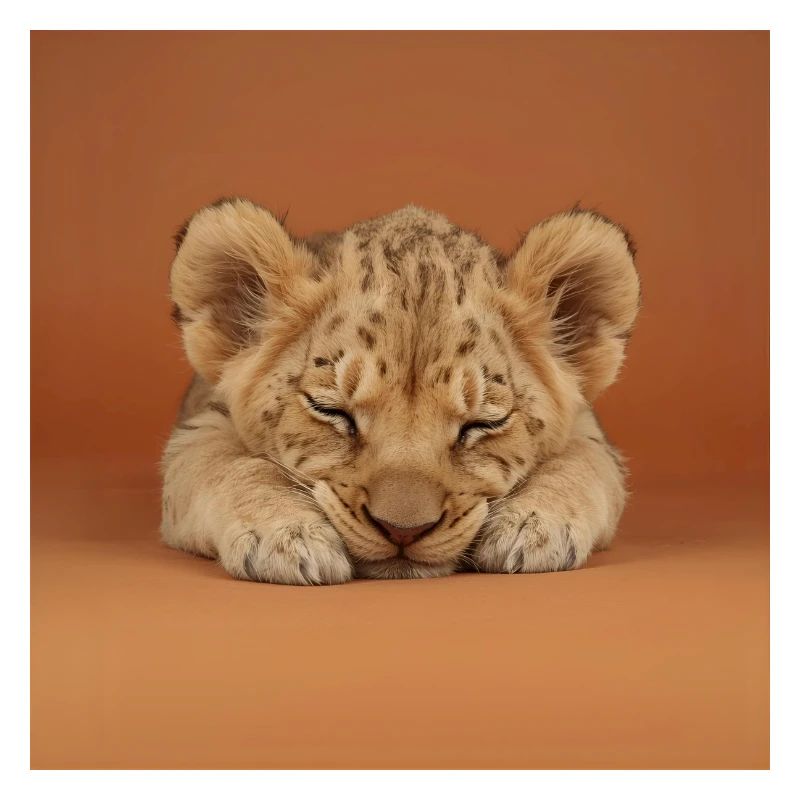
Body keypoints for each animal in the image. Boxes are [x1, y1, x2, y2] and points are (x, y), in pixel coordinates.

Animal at [161, 198, 640, 584]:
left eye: (483, 424)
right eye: (331, 411)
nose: (403, 531)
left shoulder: (589, 431)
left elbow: (578, 464)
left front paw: (535, 526)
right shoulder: (199, 427)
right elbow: (230, 467)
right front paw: (284, 536)